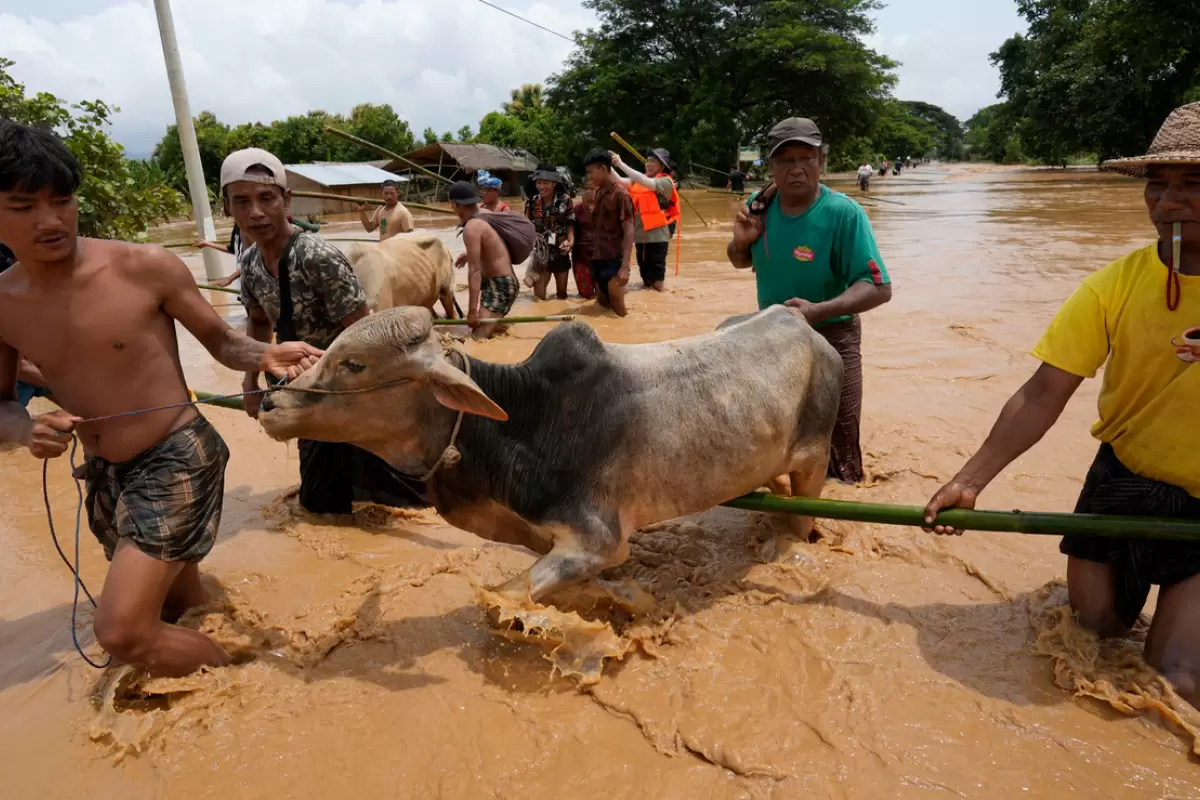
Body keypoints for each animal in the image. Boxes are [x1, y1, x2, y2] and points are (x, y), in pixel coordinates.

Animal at [260, 304, 844, 599]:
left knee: (803, 515)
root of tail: (802, 324)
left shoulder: (598, 540)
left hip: (815, 456)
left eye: (354, 364)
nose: (270, 401)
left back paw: (788, 541)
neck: (527, 420)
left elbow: (506, 597)